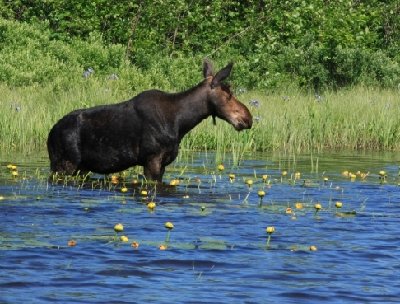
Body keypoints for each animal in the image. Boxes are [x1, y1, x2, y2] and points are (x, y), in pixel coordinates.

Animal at [47, 60, 253, 182]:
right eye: (228, 94)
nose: (248, 118)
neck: (181, 123)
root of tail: (51, 133)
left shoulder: (163, 164)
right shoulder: (152, 159)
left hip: (80, 167)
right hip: (64, 164)